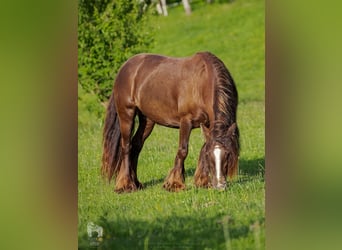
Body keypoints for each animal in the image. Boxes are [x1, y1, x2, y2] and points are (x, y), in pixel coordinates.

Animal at [101, 51, 240, 193]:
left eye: (228, 154)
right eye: (209, 155)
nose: (220, 186)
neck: (202, 83)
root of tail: (125, 67)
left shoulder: (207, 124)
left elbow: (203, 147)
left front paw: (202, 182)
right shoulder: (186, 121)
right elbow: (183, 150)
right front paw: (175, 184)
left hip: (148, 120)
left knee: (136, 145)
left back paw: (136, 183)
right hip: (126, 114)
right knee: (126, 146)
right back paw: (125, 185)